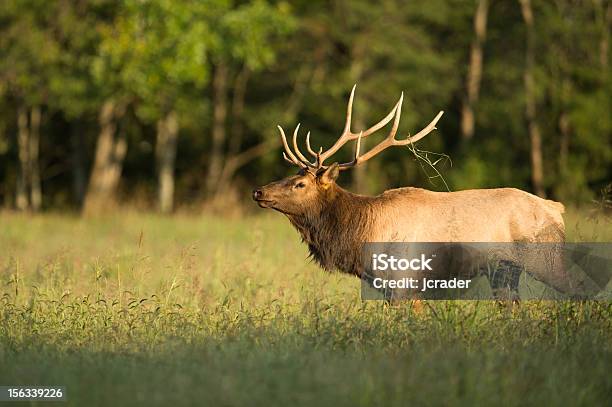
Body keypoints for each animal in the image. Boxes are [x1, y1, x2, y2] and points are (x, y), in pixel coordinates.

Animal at [252, 87, 564, 284]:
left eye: (300, 183)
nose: (258, 191)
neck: (360, 235)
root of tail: (556, 208)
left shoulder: (404, 278)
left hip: (545, 257)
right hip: (504, 271)